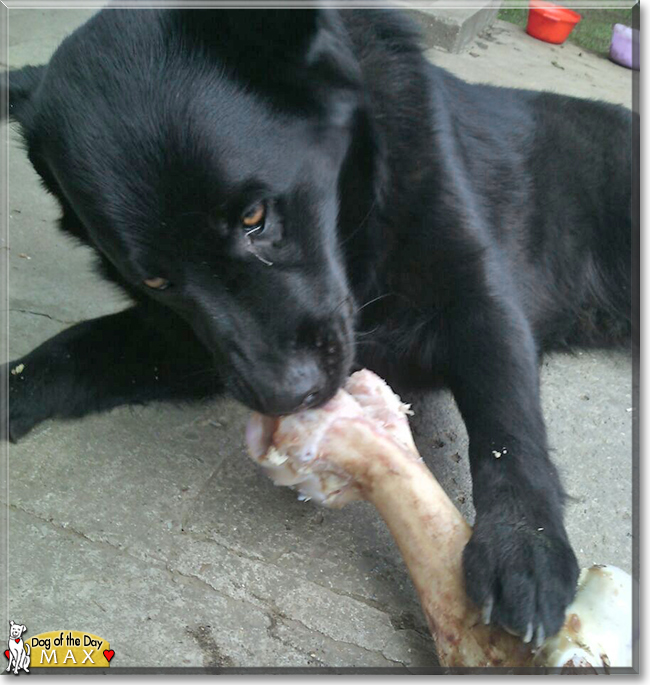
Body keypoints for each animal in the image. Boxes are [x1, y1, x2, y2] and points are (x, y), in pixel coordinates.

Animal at [2, 9, 632, 648]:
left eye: (255, 216)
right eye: (154, 278)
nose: (289, 394)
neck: (356, 226)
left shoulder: (477, 296)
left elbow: (508, 422)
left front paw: (523, 543)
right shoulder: (197, 343)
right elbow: (82, 345)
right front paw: (14, 387)